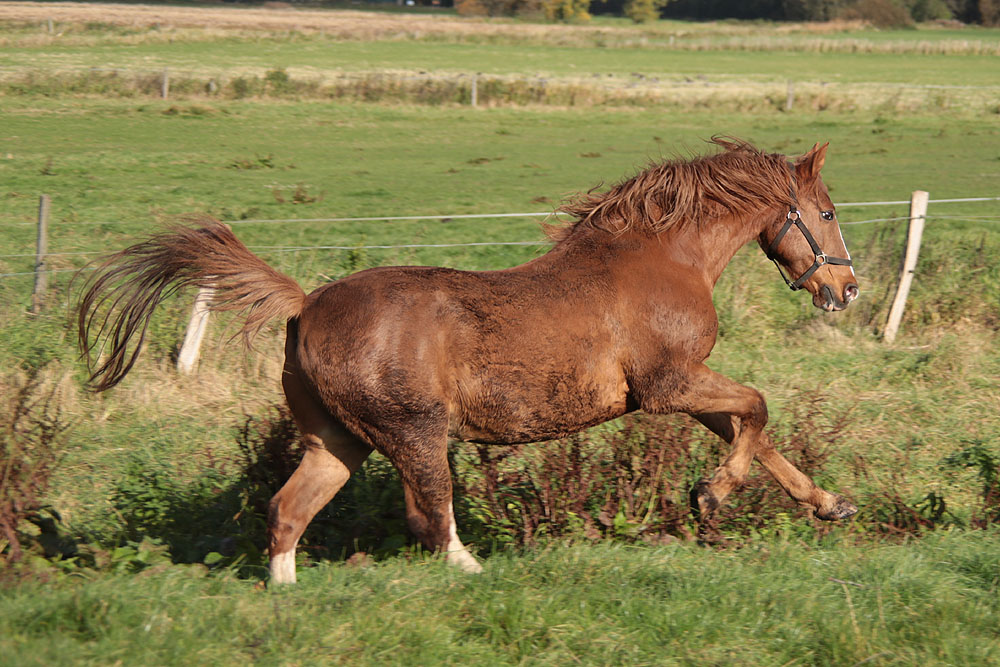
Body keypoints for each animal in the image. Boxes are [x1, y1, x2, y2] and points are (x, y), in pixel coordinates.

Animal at [78, 141, 860, 584]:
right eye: (825, 213)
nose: (846, 289)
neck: (664, 259)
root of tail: (306, 303)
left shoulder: (683, 389)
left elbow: (755, 433)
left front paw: (827, 503)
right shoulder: (668, 385)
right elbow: (756, 408)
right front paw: (709, 496)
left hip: (338, 441)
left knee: (287, 510)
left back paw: (286, 595)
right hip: (415, 431)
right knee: (429, 518)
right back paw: (476, 570)